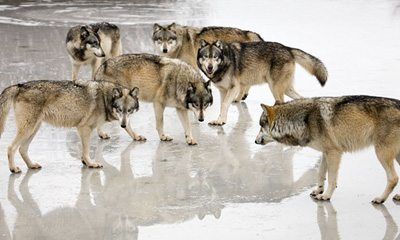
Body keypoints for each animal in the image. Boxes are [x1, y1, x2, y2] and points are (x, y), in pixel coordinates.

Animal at [0, 80, 139, 172]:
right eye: (119, 110)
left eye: (129, 110)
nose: (123, 125)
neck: (105, 99)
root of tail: (19, 86)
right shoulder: (84, 128)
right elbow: (86, 150)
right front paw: (91, 164)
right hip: (28, 129)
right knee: (11, 148)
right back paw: (13, 169)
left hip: (34, 129)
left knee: (22, 149)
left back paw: (31, 165)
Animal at [198, 39, 328, 125]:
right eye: (206, 57)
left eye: (215, 57)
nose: (210, 67)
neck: (225, 61)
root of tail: (288, 48)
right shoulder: (223, 90)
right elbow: (222, 105)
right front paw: (220, 120)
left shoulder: (234, 88)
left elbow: (225, 104)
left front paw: (220, 121)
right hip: (286, 89)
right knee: (301, 98)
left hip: (274, 88)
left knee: (282, 103)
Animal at [255, 95, 400, 204]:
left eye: (261, 126)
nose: (255, 141)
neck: (304, 120)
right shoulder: (325, 152)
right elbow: (320, 173)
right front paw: (318, 190)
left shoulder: (334, 153)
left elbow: (331, 178)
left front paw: (326, 196)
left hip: (381, 154)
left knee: (393, 178)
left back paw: (380, 199)